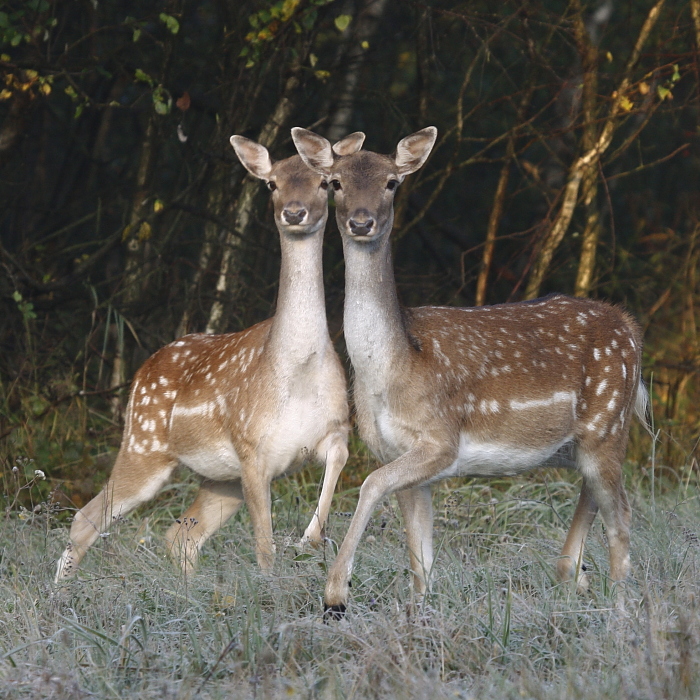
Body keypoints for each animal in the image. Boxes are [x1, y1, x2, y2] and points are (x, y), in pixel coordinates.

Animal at [54, 131, 366, 580]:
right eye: (271, 183)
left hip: (220, 478)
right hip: (144, 445)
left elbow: (339, 462)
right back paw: (59, 593)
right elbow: (264, 546)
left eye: (325, 182)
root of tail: (141, 372)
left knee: (181, 534)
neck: (299, 372)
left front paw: (311, 536)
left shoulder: (337, 427)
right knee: (87, 518)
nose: (294, 212)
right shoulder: (251, 448)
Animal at [292, 127, 648, 616]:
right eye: (335, 183)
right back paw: (572, 578)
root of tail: (630, 328)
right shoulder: (395, 452)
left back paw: (619, 610)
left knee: (623, 517)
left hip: (608, 423)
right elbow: (420, 560)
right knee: (593, 498)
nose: (362, 222)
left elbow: (369, 485)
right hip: (584, 443)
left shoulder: (441, 438)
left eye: (392, 183)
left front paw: (335, 592)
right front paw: (415, 614)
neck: (391, 369)